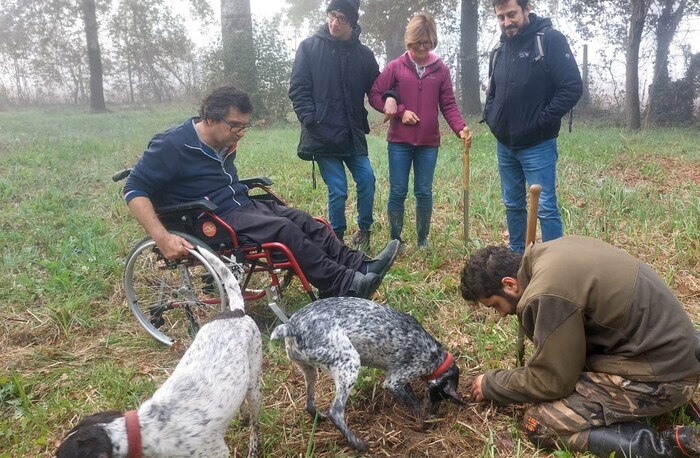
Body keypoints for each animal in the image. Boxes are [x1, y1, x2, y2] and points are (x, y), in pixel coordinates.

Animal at [56, 247, 264, 458]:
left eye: (59, 456)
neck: (145, 430)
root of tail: (236, 312)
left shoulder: (217, 452)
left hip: (254, 387)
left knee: (255, 426)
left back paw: (253, 447)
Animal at [270, 296, 462, 450]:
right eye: (440, 397)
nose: (435, 415)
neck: (435, 356)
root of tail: (292, 326)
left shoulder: (397, 377)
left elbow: (410, 393)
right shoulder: (394, 381)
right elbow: (414, 404)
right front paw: (423, 420)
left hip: (310, 371)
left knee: (309, 405)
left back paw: (319, 416)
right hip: (350, 364)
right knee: (335, 412)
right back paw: (357, 443)